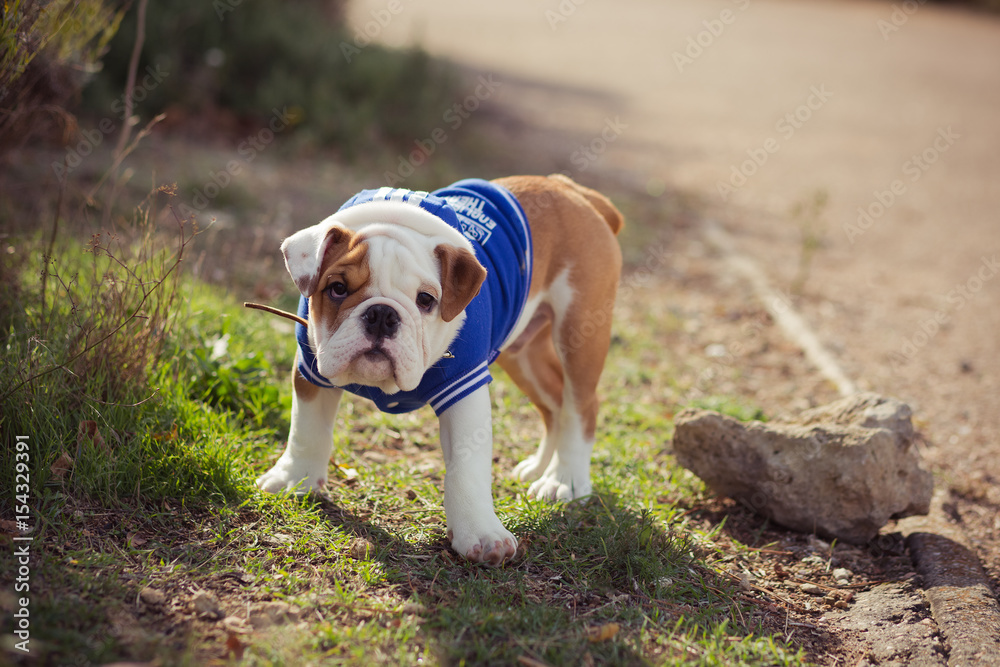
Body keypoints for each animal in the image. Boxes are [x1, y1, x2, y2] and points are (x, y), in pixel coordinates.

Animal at [254, 175, 620, 568]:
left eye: (426, 300)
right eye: (337, 288)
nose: (382, 314)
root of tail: (569, 187)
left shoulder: (464, 388)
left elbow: (467, 469)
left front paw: (481, 533)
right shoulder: (312, 370)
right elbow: (306, 430)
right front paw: (294, 479)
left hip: (580, 333)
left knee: (580, 408)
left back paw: (565, 480)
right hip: (524, 355)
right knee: (554, 405)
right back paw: (540, 468)